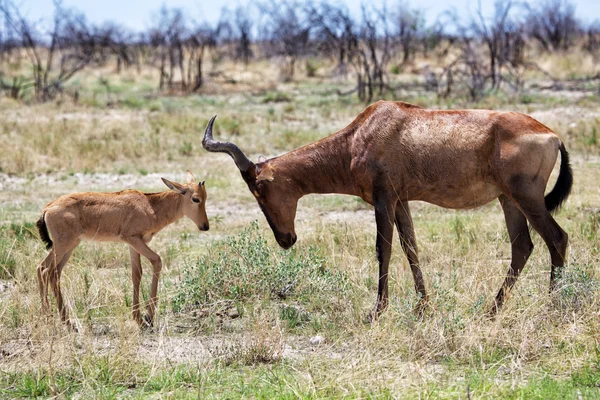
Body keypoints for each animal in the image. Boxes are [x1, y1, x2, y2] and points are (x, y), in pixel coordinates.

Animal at [35, 170, 209, 328]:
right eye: (195, 199)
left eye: (205, 198)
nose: (205, 226)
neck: (149, 204)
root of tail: (47, 208)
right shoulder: (133, 239)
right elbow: (157, 261)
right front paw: (148, 318)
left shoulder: (134, 244)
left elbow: (136, 274)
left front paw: (139, 319)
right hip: (63, 244)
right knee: (46, 270)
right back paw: (53, 318)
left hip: (71, 245)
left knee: (49, 271)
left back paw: (60, 319)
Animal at [202, 101, 572, 320]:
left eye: (259, 189)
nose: (285, 239)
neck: (363, 132)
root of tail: (552, 135)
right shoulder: (401, 200)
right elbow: (411, 248)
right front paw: (422, 307)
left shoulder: (383, 199)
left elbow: (384, 249)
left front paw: (377, 311)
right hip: (508, 200)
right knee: (522, 246)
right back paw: (491, 311)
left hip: (527, 197)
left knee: (557, 238)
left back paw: (552, 307)